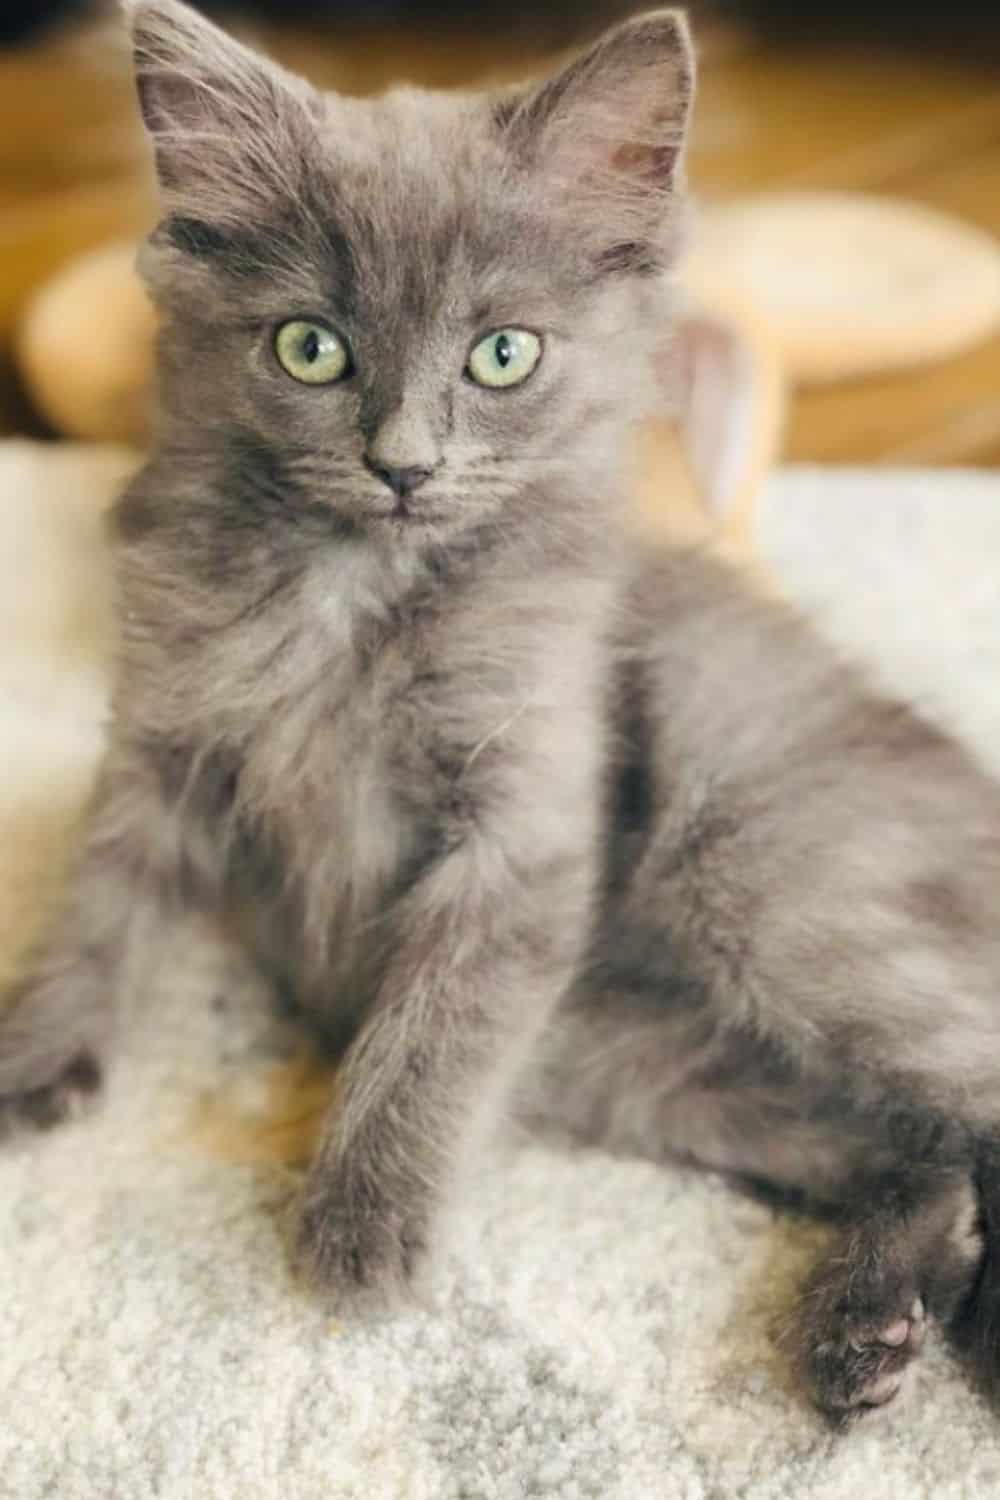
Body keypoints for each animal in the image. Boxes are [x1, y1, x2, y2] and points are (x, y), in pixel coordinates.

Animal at [1, 0, 1000, 1428]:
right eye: (310, 346)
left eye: (503, 354)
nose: (403, 465)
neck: (354, 588)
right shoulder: (162, 734)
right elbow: (95, 904)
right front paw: (40, 1057)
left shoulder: (520, 822)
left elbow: (430, 1033)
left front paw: (361, 1229)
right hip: (634, 1059)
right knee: (917, 1147)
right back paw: (867, 1327)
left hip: (763, 884)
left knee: (969, 1089)